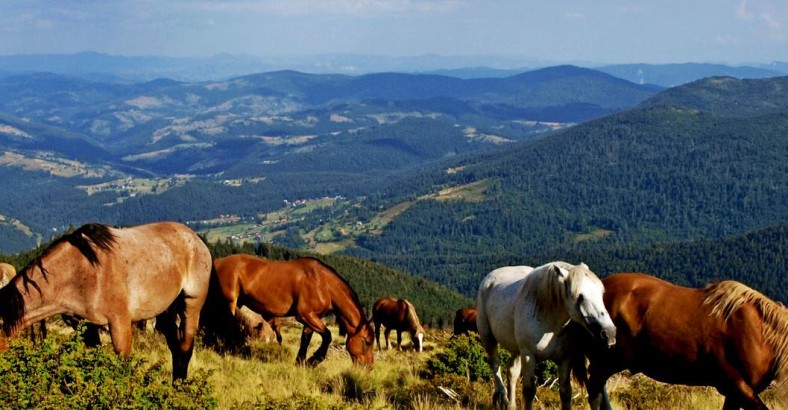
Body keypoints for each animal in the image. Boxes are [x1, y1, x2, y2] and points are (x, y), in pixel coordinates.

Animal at [0, 223, 212, 380]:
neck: (80, 271)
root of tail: (195, 239)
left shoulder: (119, 322)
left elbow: (123, 367)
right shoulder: (84, 325)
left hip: (191, 304)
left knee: (185, 348)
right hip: (166, 312)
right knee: (175, 348)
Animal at [209, 253, 376, 366]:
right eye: (367, 342)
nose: (369, 367)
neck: (323, 283)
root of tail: (216, 262)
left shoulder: (312, 317)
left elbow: (305, 340)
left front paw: (301, 362)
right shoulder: (304, 315)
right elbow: (327, 336)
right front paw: (314, 360)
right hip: (229, 302)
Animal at [478, 262, 620, 410]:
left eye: (601, 293)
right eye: (580, 297)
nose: (609, 333)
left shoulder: (565, 359)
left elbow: (565, 392)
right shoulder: (528, 355)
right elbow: (529, 391)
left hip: (516, 350)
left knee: (512, 372)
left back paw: (511, 405)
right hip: (488, 338)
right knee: (495, 364)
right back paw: (501, 396)